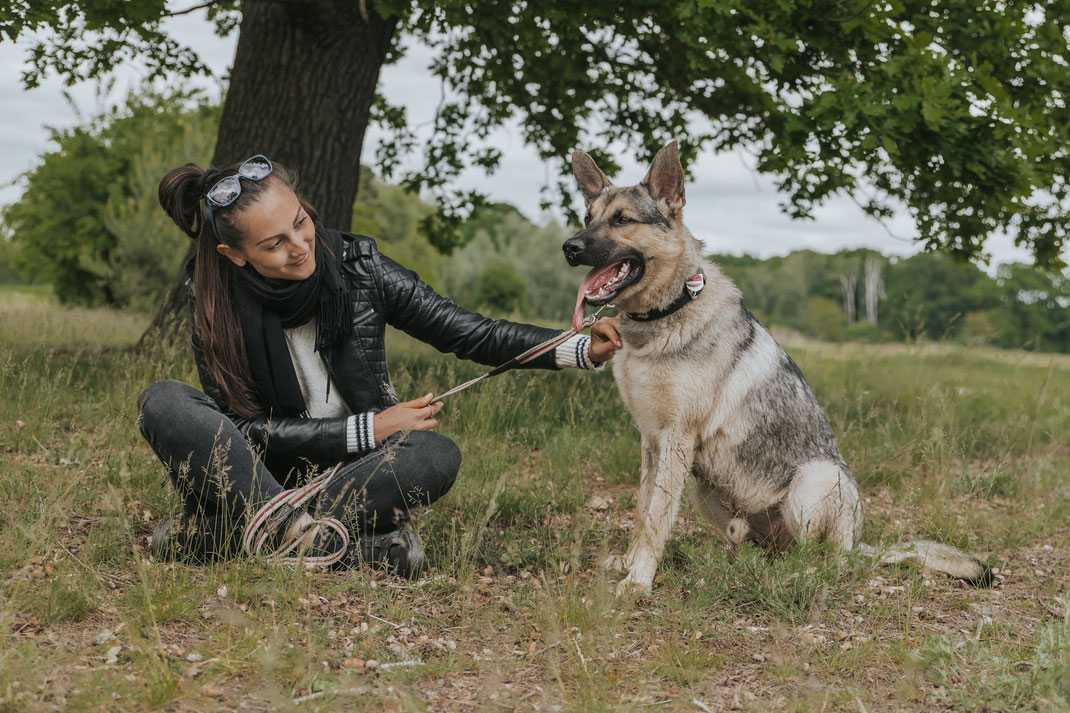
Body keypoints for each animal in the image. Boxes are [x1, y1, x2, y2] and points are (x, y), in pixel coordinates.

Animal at [564, 141, 988, 590]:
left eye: (622, 219)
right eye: (588, 218)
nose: (569, 248)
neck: (667, 311)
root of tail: (862, 545)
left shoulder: (676, 440)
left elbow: (657, 517)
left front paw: (639, 579)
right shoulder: (651, 442)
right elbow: (643, 507)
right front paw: (629, 564)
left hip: (816, 479)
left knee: (829, 561)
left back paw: (802, 574)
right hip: (704, 487)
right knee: (763, 551)